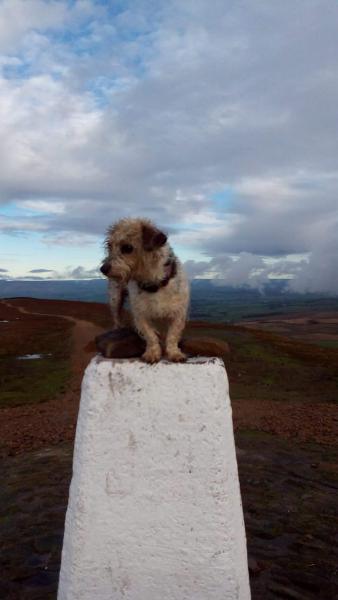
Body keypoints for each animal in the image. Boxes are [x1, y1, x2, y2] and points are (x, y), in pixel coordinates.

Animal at [100, 218, 190, 364]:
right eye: (109, 246)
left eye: (127, 248)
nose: (103, 269)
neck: (154, 284)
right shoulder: (140, 314)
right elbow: (150, 335)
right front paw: (152, 353)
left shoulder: (178, 313)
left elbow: (172, 335)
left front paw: (174, 353)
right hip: (115, 298)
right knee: (117, 318)